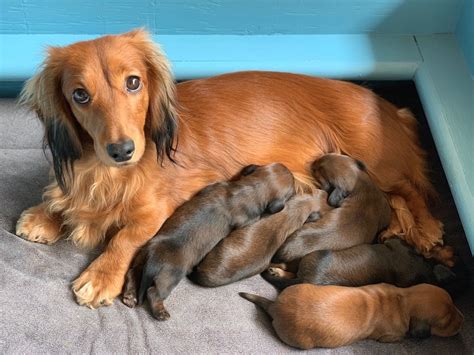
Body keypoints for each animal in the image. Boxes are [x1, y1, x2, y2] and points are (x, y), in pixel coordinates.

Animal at [121, 163, 296, 322]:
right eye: (292, 189)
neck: (249, 189)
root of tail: (153, 258)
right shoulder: (247, 219)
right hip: (168, 278)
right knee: (153, 292)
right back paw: (160, 313)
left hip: (140, 259)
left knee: (132, 273)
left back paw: (129, 297)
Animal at [239, 284, 462, 350]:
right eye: (445, 322)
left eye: (454, 303)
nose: (463, 321)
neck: (402, 300)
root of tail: (275, 306)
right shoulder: (390, 336)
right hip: (303, 343)